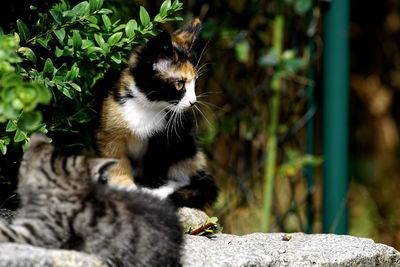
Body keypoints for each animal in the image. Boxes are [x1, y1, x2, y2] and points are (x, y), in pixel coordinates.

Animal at [95, 18, 217, 210]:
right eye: (179, 84)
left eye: (195, 82)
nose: (193, 101)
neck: (146, 105)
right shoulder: (109, 129)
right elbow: (117, 159)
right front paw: (124, 185)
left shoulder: (165, 138)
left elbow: (156, 162)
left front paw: (150, 189)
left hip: (188, 146)